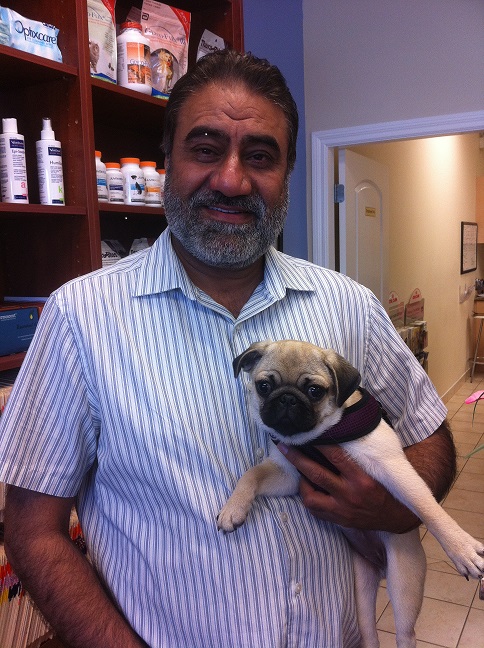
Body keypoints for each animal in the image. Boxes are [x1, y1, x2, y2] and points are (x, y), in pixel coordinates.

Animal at [217, 340, 484, 648]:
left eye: (314, 391)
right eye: (263, 386)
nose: (287, 399)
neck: (317, 437)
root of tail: (380, 567)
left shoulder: (391, 465)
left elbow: (426, 506)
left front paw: (461, 549)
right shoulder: (286, 474)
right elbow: (251, 475)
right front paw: (233, 508)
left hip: (404, 583)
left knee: (406, 633)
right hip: (361, 590)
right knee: (369, 631)